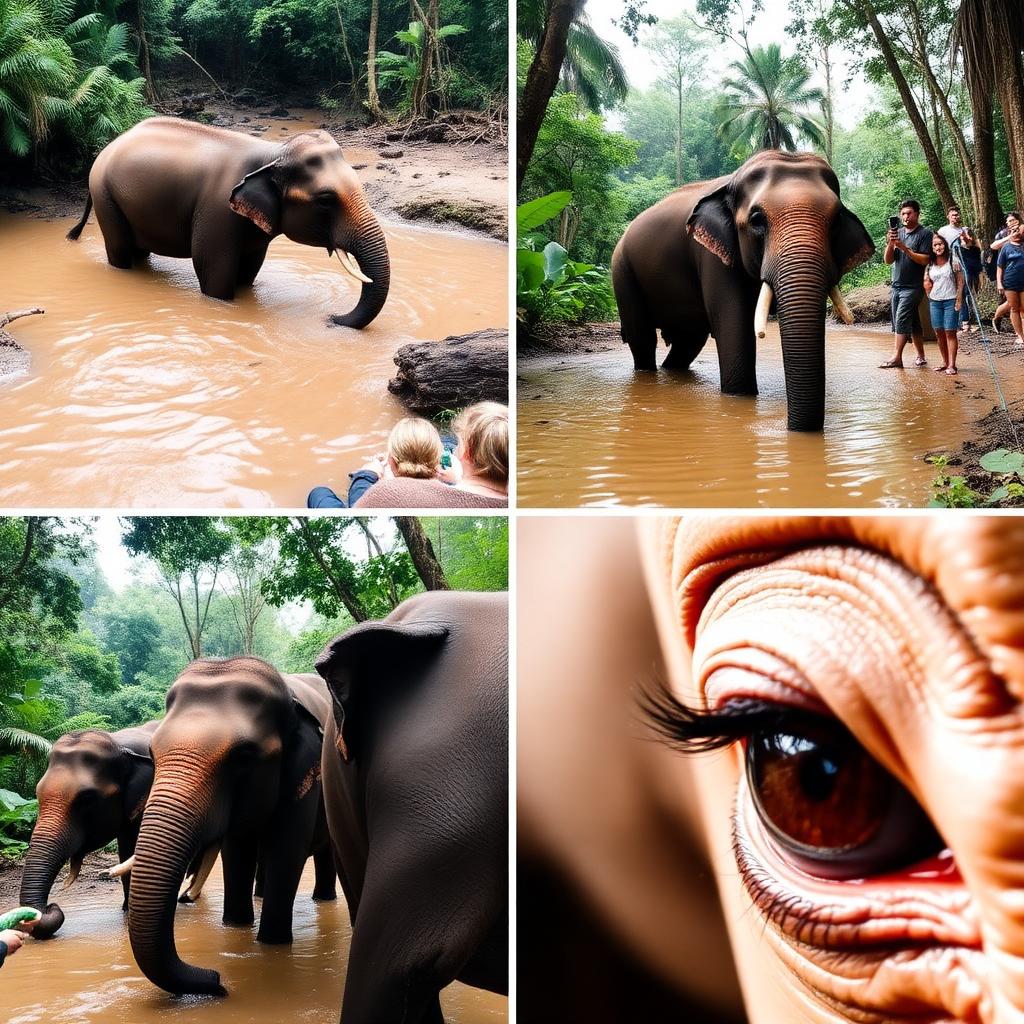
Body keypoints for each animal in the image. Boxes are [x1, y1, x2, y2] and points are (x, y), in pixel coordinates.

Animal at [19, 722, 158, 940]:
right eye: (37, 793)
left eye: (87, 798)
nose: (52, 906)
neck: (120, 744)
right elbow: (126, 851)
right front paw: (126, 911)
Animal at [66, 117, 389, 327]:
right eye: (325, 199)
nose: (332, 317)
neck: (273, 152)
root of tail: (105, 149)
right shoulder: (217, 211)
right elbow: (213, 271)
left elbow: (249, 269)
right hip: (105, 195)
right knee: (120, 251)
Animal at [126, 658, 337, 997]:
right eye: (152, 755)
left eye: (243, 758)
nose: (217, 980)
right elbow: (237, 852)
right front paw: (236, 928)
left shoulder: (306, 769)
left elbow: (286, 850)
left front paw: (273, 947)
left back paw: (323, 900)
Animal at [611, 150, 875, 431]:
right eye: (757, 220)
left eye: (836, 221)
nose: (790, 429)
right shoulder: (712, 256)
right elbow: (734, 328)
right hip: (622, 271)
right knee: (643, 338)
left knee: (688, 342)